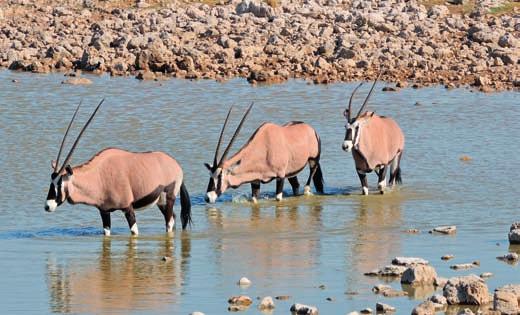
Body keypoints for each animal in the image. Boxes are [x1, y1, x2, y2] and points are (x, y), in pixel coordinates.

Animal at [45, 100, 192, 236]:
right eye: (51, 182)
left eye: (60, 183)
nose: (47, 206)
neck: (98, 176)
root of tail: (176, 166)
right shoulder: (104, 212)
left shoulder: (128, 208)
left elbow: (134, 232)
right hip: (161, 202)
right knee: (173, 218)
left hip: (170, 197)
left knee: (169, 222)